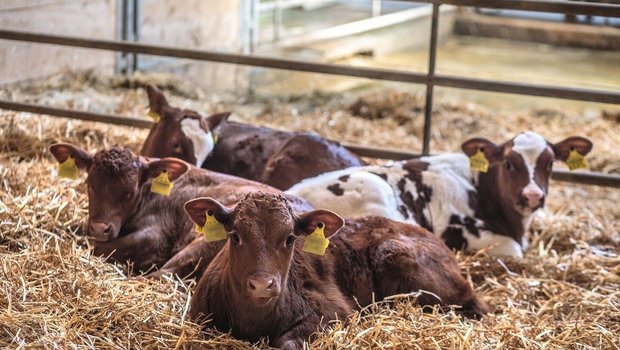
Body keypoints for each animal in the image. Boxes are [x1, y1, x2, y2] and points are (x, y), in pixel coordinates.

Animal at [49, 142, 312, 274]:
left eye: (129, 192)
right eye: (89, 185)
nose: (99, 227)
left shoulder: (155, 236)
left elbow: (97, 246)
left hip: (200, 244)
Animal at [186, 193, 486, 348]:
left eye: (290, 238)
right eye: (235, 236)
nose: (262, 284)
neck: (253, 319)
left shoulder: (333, 311)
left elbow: (286, 342)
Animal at [288, 131, 592, 258]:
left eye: (550, 164)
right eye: (508, 163)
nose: (533, 196)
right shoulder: (460, 231)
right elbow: (515, 251)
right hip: (377, 191)